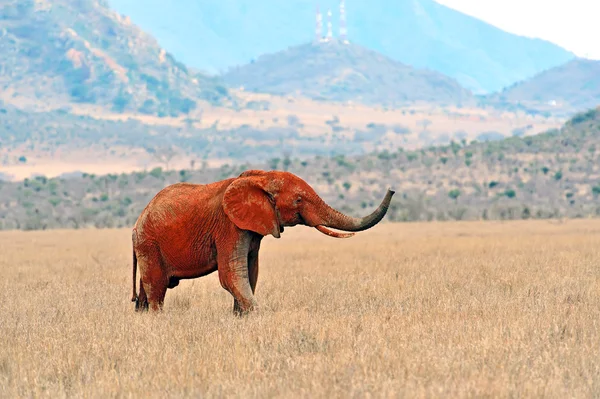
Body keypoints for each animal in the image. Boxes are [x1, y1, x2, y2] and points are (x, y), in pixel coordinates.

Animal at [130, 170, 394, 314]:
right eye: (298, 200)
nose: (392, 189)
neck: (262, 177)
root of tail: (136, 223)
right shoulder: (229, 226)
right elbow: (232, 275)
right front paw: (257, 316)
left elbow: (251, 271)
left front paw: (241, 318)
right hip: (149, 243)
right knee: (156, 288)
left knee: (146, 291)